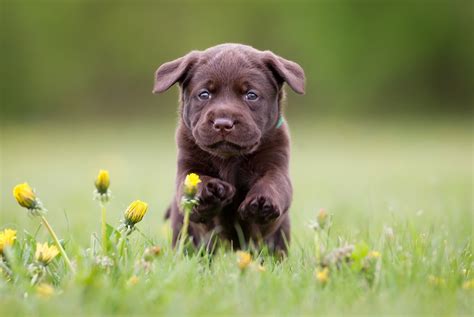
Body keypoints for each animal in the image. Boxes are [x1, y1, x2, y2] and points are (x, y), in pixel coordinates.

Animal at [154, 43, 306, 253]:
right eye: (204, 94)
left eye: (251, 95)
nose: (223, 124)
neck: (229, 158)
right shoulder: (187, 166)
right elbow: (194, 182)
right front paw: (210, 190)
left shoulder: (276, 163)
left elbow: (274, 182)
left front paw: (262, 202)